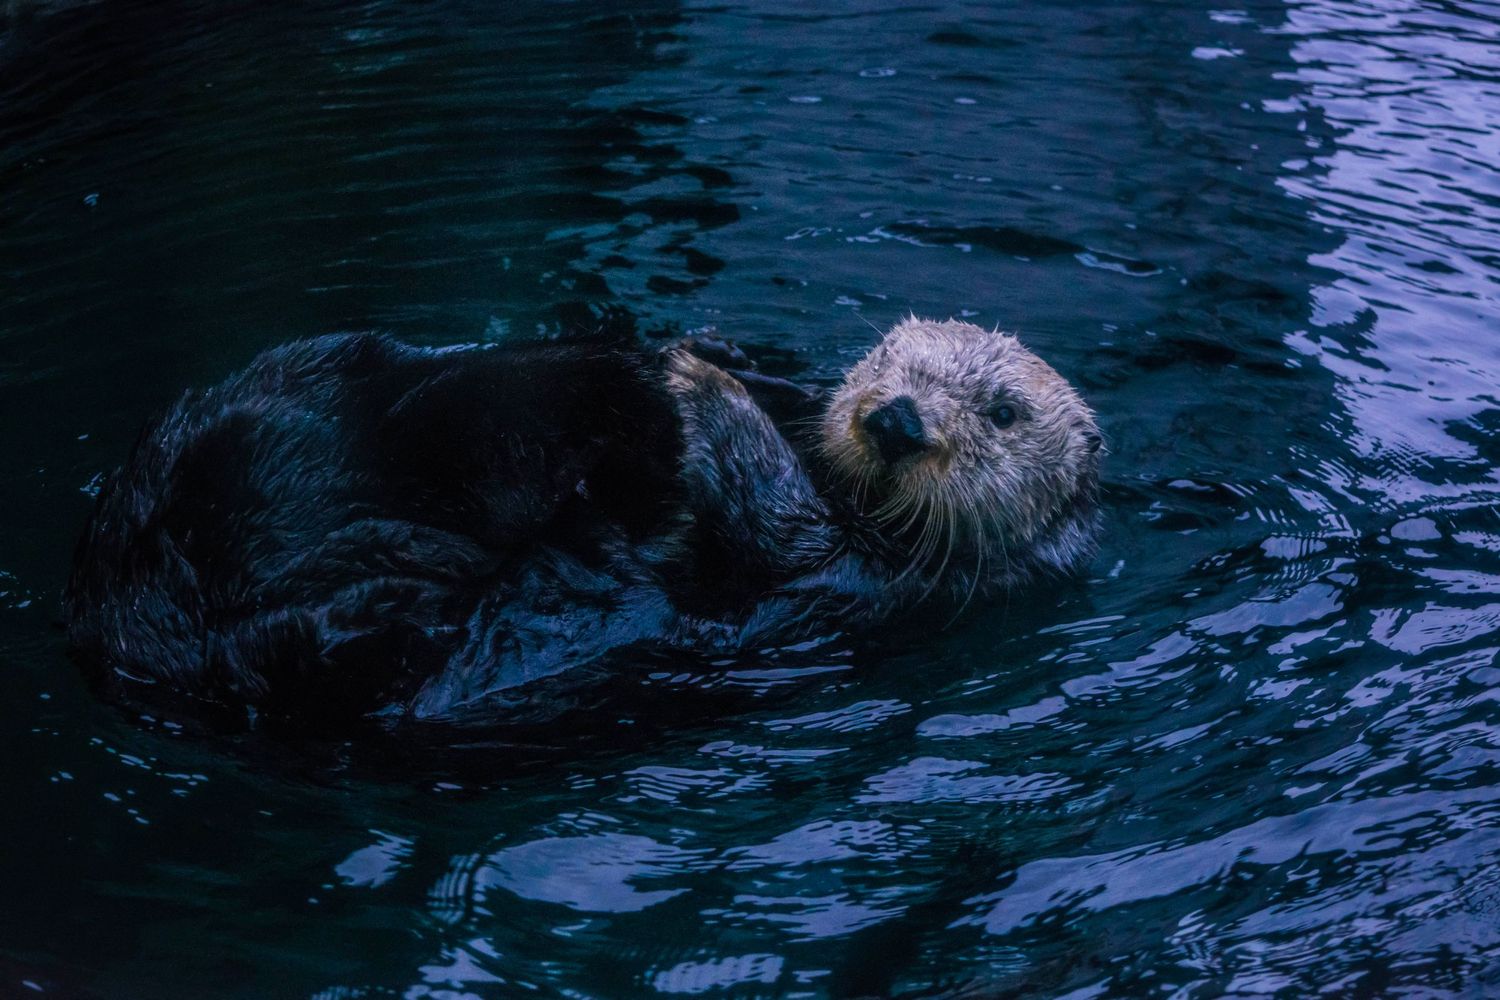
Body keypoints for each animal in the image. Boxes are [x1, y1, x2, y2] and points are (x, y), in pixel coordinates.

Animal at [65, 318, 1100, 728]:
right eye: (889, 358)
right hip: (318, 372)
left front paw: (699, 382)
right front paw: (723, 356)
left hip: (347, 648)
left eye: (1004, 412)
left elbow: (773, 524)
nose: (895, 419)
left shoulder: (864, 580)